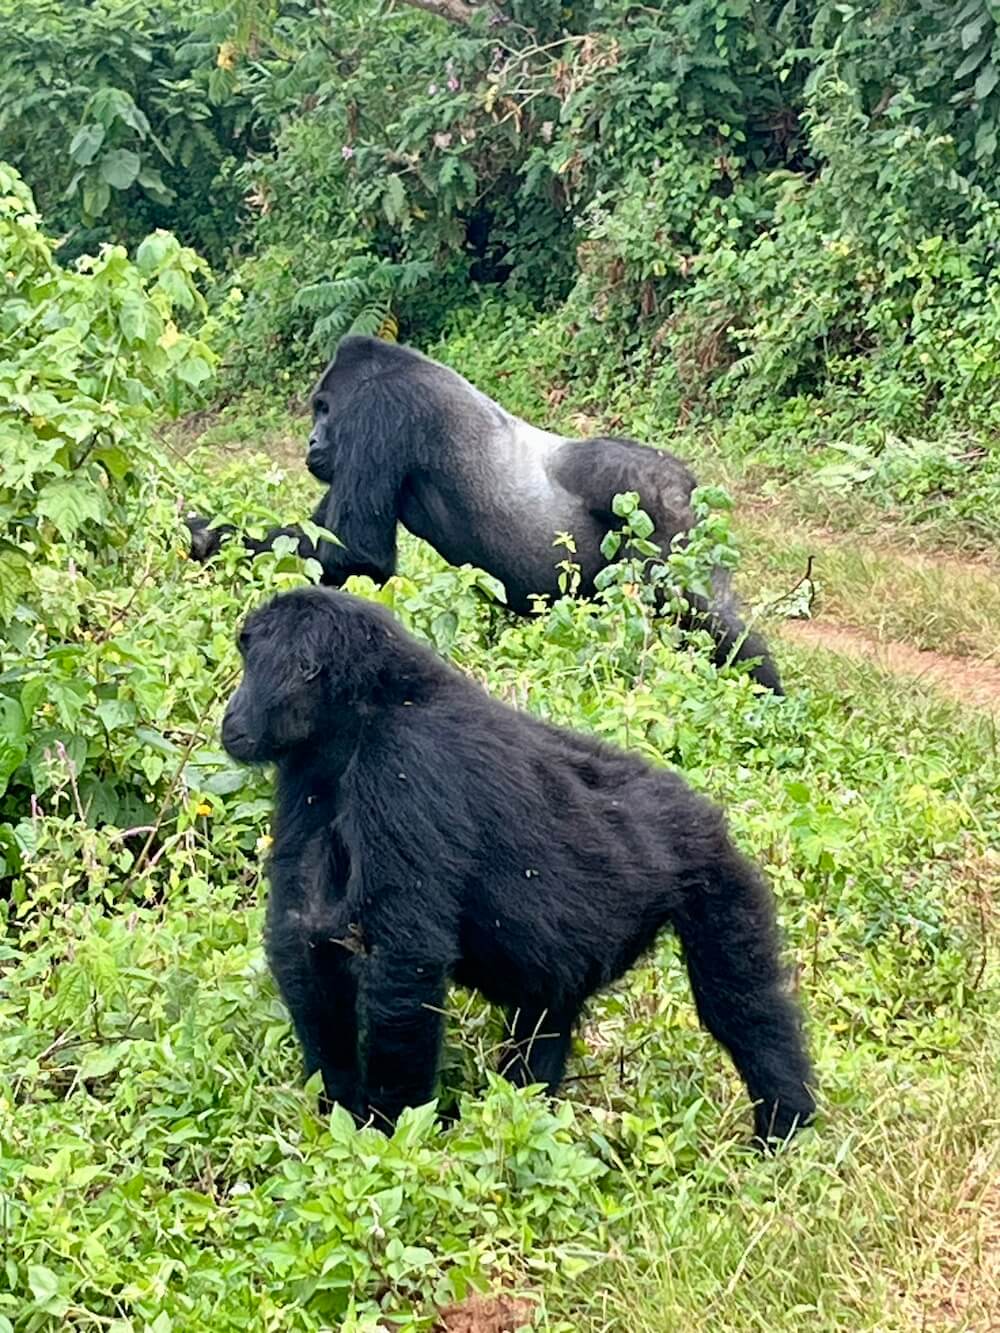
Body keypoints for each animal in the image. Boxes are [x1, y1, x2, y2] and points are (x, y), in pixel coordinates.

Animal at [186, 333, 784, 693]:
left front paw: (205, 535)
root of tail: (686, 480)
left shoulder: (379, 414)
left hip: (658, 506)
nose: (311, 441)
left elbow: (359, 552)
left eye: (323, 410)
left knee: (711, 617)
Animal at [222, 589, 816, 1141]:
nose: (230, 712)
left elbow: (403, 960)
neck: (370, 699)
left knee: (742, 1007)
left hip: (714, 872)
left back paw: (784, 1123)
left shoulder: (405, 763)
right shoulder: (309, 765)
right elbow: (304, 931)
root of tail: (701, 810)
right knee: (548, 1016)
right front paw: (337, 1096)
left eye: (252, 664)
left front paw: (390, 1129)